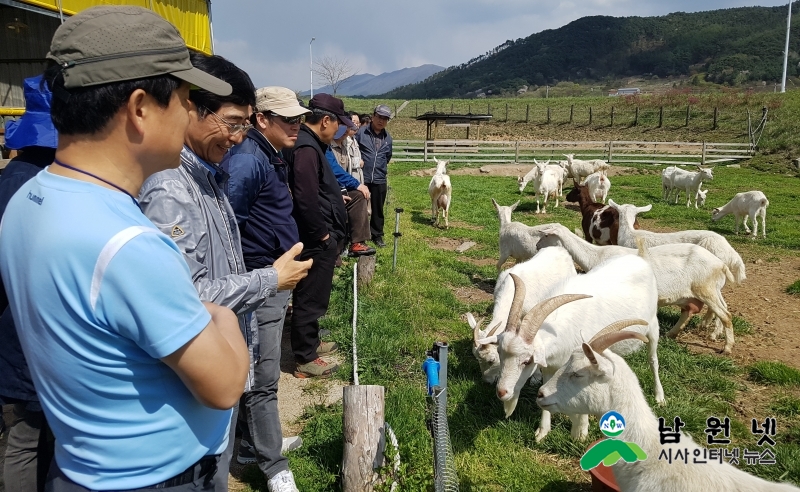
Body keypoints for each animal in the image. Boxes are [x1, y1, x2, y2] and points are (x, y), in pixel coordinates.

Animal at [478, 256, 664, 444]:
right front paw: (542, 432)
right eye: (500, 354)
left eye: (527, 361)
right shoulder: (551, 367)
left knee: (653, 360)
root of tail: (637, 258)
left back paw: (659, 396)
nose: (502, 392)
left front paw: (581, 432)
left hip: (653, 327)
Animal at [536, 223, 736, 354]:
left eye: (545, 236)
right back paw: (674, 334)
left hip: (706, 288)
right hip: (705, 291)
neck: (595, 256)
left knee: (726, 315)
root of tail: (721, 265)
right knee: (700, 311)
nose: (537, 247)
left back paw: (726, 347)